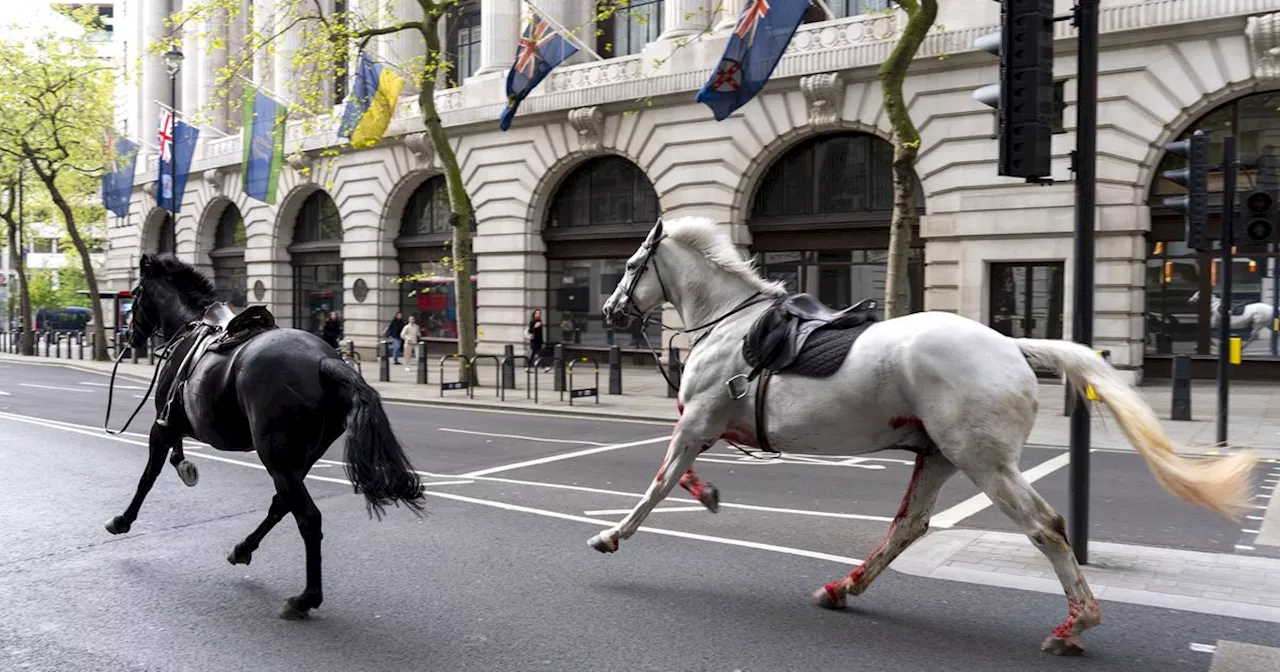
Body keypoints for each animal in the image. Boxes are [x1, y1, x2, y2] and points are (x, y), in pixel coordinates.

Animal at [108, 256, 424, 619]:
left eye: (135, 294)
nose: (127, 334)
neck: (190, 327)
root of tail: (325, 360)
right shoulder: (176, 424)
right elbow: (174, 456)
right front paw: (184, 467)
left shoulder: (163, 424)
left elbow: (147, 477)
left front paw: (123, 520)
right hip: (298, 459)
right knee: (281, 505)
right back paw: (243, 549)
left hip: (277, 458)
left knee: (308, 518)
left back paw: (305, 598)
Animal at [593, 218, 1254, 655]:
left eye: (628, 266)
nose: (609, 311)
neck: (732, 324)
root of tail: (1013, 346)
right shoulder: (704, 424)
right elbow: (681, 476)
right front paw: (706, 495)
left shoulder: (696, 420)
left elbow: (659, 483)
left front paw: (611, 535)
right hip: (938, 456)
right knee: (909, 526)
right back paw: (843, 587)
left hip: (983, 461)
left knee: (1045, 527)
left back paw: (1075, 625)